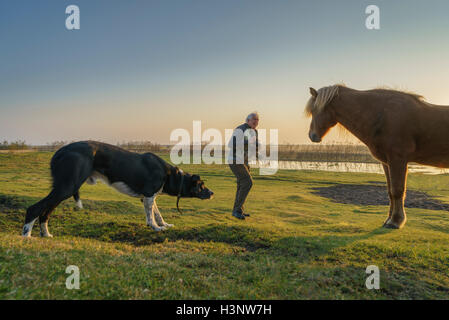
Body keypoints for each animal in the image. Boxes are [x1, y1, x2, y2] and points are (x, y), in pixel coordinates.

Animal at [21, 141, 214, 238]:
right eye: (202, 185)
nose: (212, 193)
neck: (170, 174)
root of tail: (59, 151)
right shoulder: (149, 195)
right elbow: (151, 216)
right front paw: (155, 228)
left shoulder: (148, 197)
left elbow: (157, 213)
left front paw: (164, 224)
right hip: (67, 187)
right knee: (35, 209)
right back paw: (26, 236)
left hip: (63, 188)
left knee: (45, 213)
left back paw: (46, 234)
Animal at [306, 85, 448, 229]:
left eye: (314, 110)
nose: (312, 135)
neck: (382, 115)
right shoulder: (387, 163)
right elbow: (390, 192)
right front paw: (388, 220)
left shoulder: (398, 160)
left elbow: (397, 190)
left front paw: (396, 221)